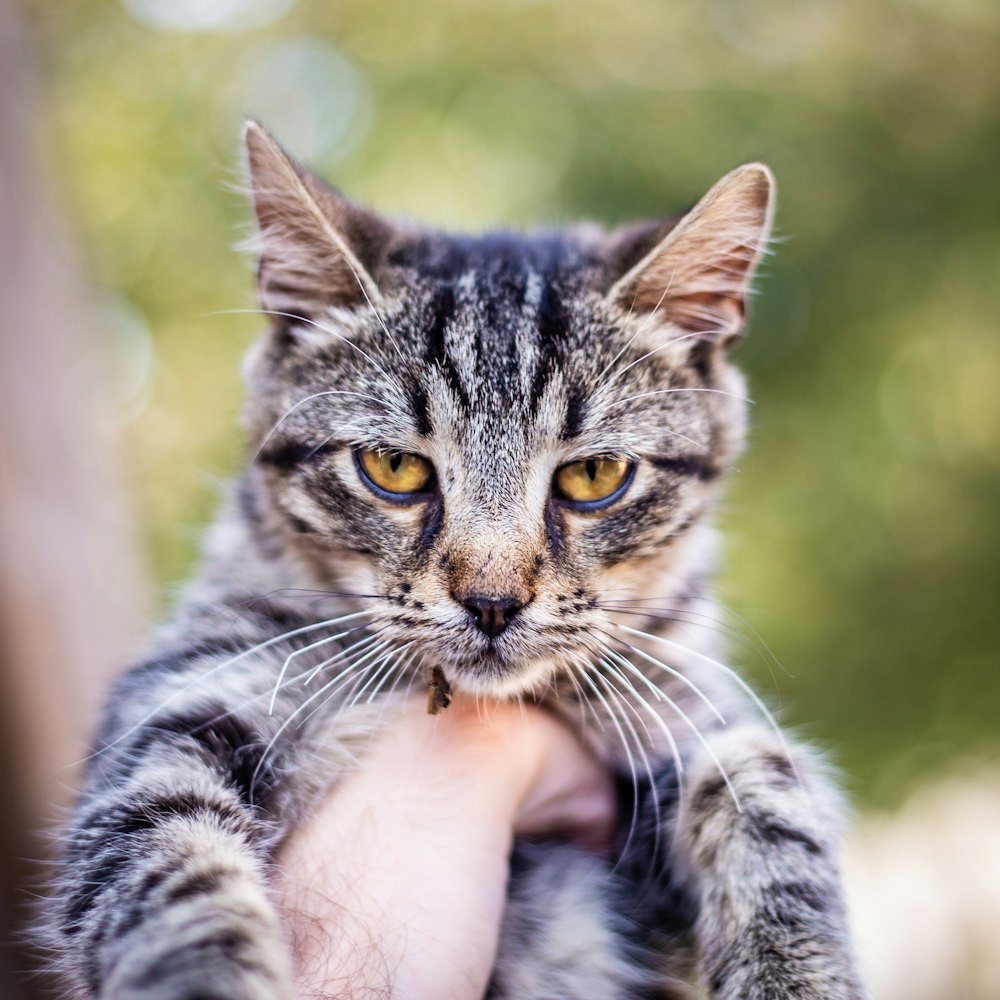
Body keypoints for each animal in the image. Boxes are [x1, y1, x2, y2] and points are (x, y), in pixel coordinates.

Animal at [43, 121, 864, 996]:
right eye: (393, 467)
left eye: (595, 476)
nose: (492, 601)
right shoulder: (181, 704)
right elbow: (171, 866)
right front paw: (205, 973)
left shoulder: (682, 714)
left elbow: (765, 784)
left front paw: (794, 972)